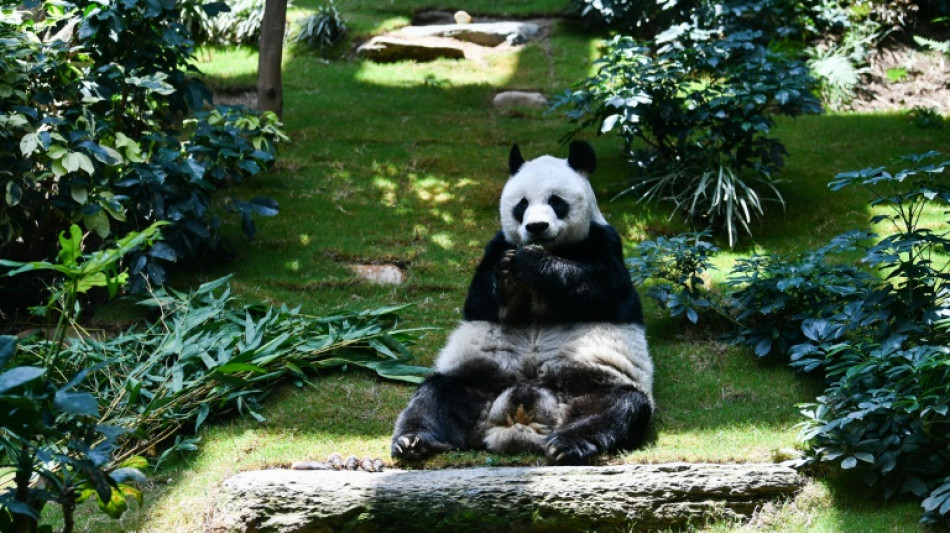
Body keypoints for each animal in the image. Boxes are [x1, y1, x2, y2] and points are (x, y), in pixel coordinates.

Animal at [388, 140, 656, 462]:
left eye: (556, 201)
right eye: (522, 205)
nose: (536, 227)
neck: (552, 247)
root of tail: (519, 420)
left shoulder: (605, 242)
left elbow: (600, 288)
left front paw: (532, 263)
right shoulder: (496, 245)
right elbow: (481, 300)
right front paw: (507, 275)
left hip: (591, 378)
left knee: (617, 406)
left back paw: (567, 444)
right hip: (479, 378)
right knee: (435, 395)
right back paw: (413, 441)